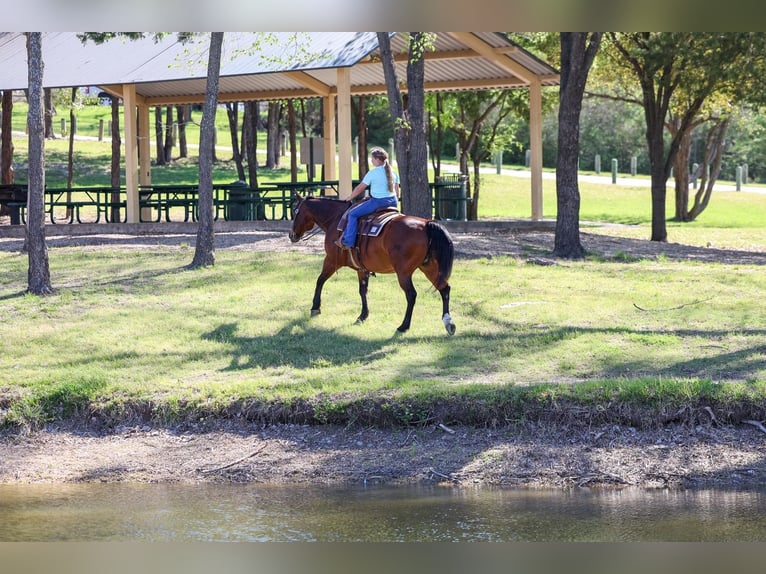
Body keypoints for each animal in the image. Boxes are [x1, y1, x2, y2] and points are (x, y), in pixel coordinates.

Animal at [288, 193, 456, 336]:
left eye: (296, 212)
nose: (291, 235)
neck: (335, 219)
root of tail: (426, 224)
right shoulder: (362, 269)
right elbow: (363, 290)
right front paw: (363, 315)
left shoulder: (330, 260)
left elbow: (320, 280)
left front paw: (315, 307)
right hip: (429, 267)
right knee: (444, 289)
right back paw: (448, 323)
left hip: (404, 273)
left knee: (411, 295)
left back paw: (404, 326)